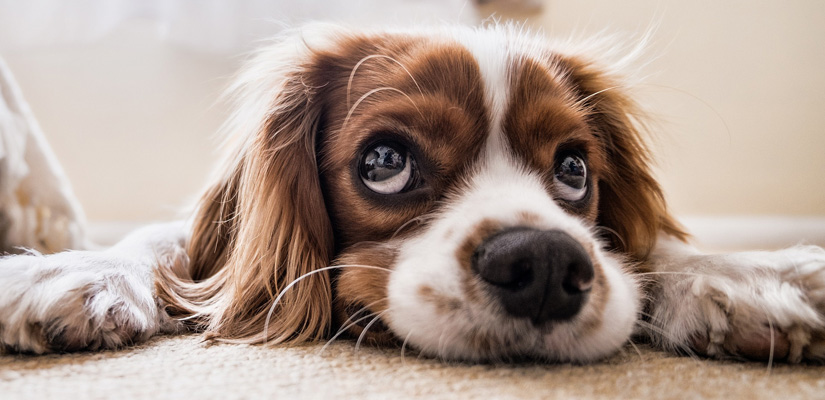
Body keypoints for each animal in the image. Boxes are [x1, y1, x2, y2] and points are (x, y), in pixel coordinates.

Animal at [1, 23, 824, 364]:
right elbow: (165, 244)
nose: (545, 265)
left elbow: (655, 250)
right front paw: (71, 271)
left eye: (573, 170)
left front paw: (748, 276)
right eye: (385, 161)